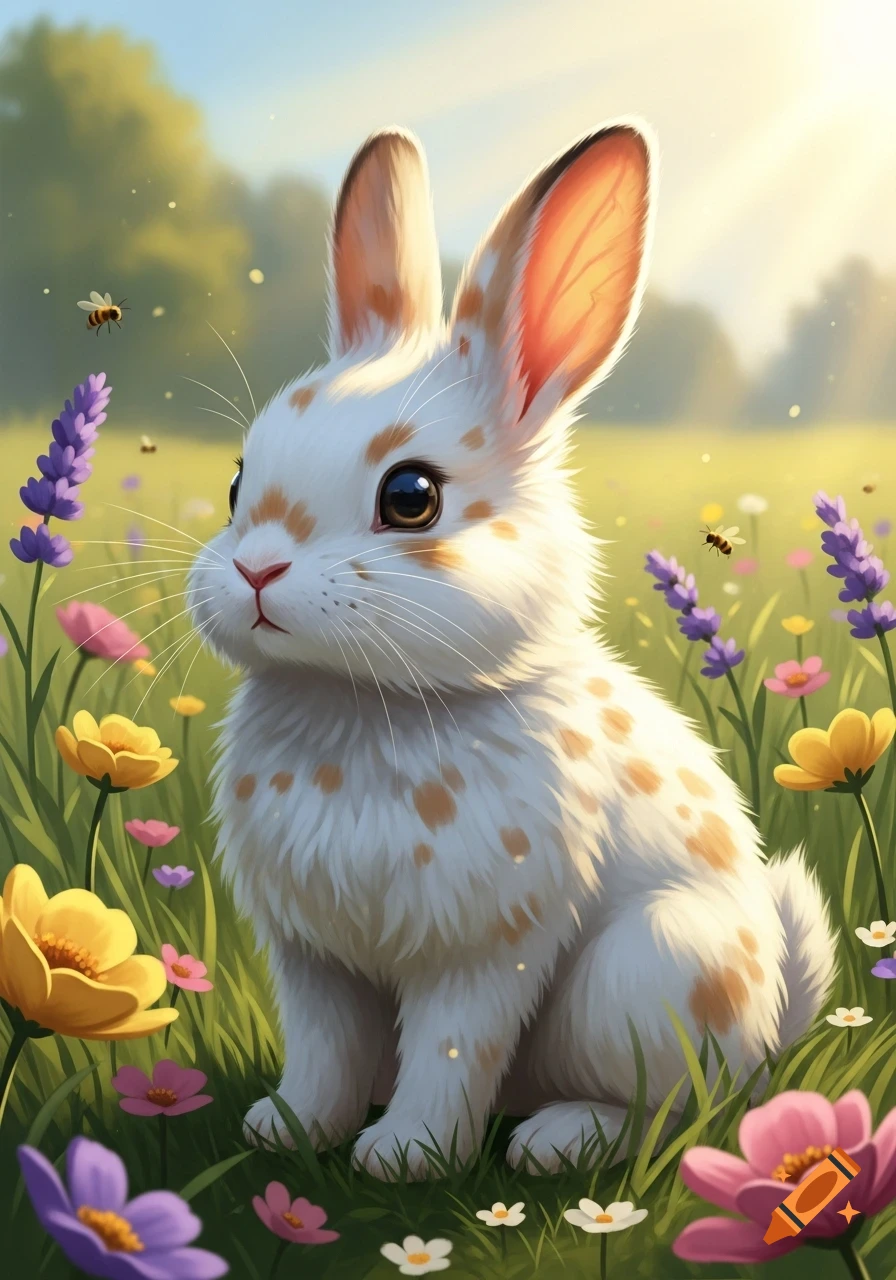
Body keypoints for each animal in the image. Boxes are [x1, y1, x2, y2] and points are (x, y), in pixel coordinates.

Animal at [188, 121, 837, 1180]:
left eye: (412, 496)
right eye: (240, 479)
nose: (254, 571)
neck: (361, 705)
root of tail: (771, 1024)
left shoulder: (484, 949)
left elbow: (453, 1050)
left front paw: (404, 1159)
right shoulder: (313, 956)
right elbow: (323, 1050)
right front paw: (286, 1131)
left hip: (644, 975)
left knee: (677, 1114)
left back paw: (555, 1141)